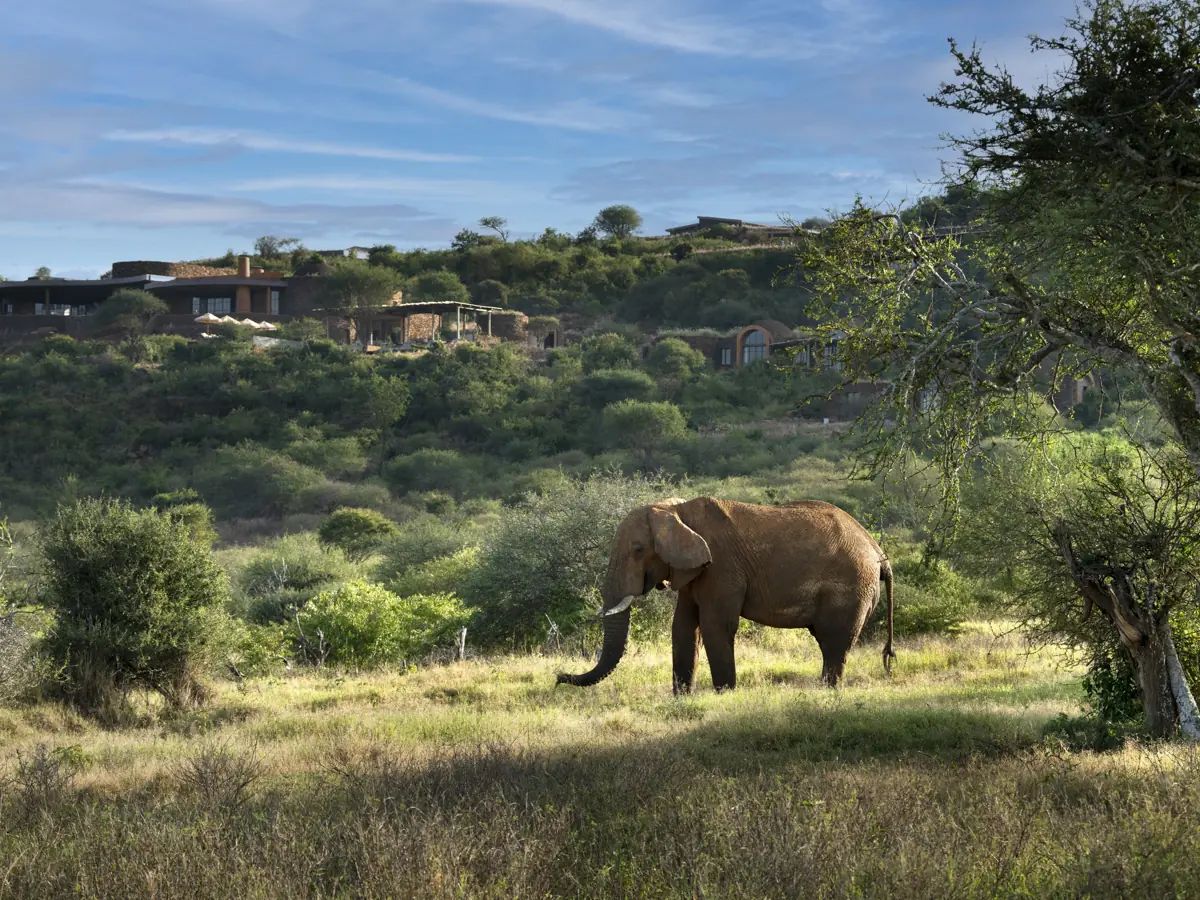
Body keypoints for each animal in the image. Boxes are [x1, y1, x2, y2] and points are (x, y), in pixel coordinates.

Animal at [556, 496, 895, 693]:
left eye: (638, 550)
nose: (559, 677)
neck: (676, 511)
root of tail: (878, 552)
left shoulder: (722, 567)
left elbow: (715, 626)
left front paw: (725, 695)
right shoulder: (694, 571)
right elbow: (683, 627)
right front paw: (683, 698)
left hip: (852, 587)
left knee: (834, 642)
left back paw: (828, 691)